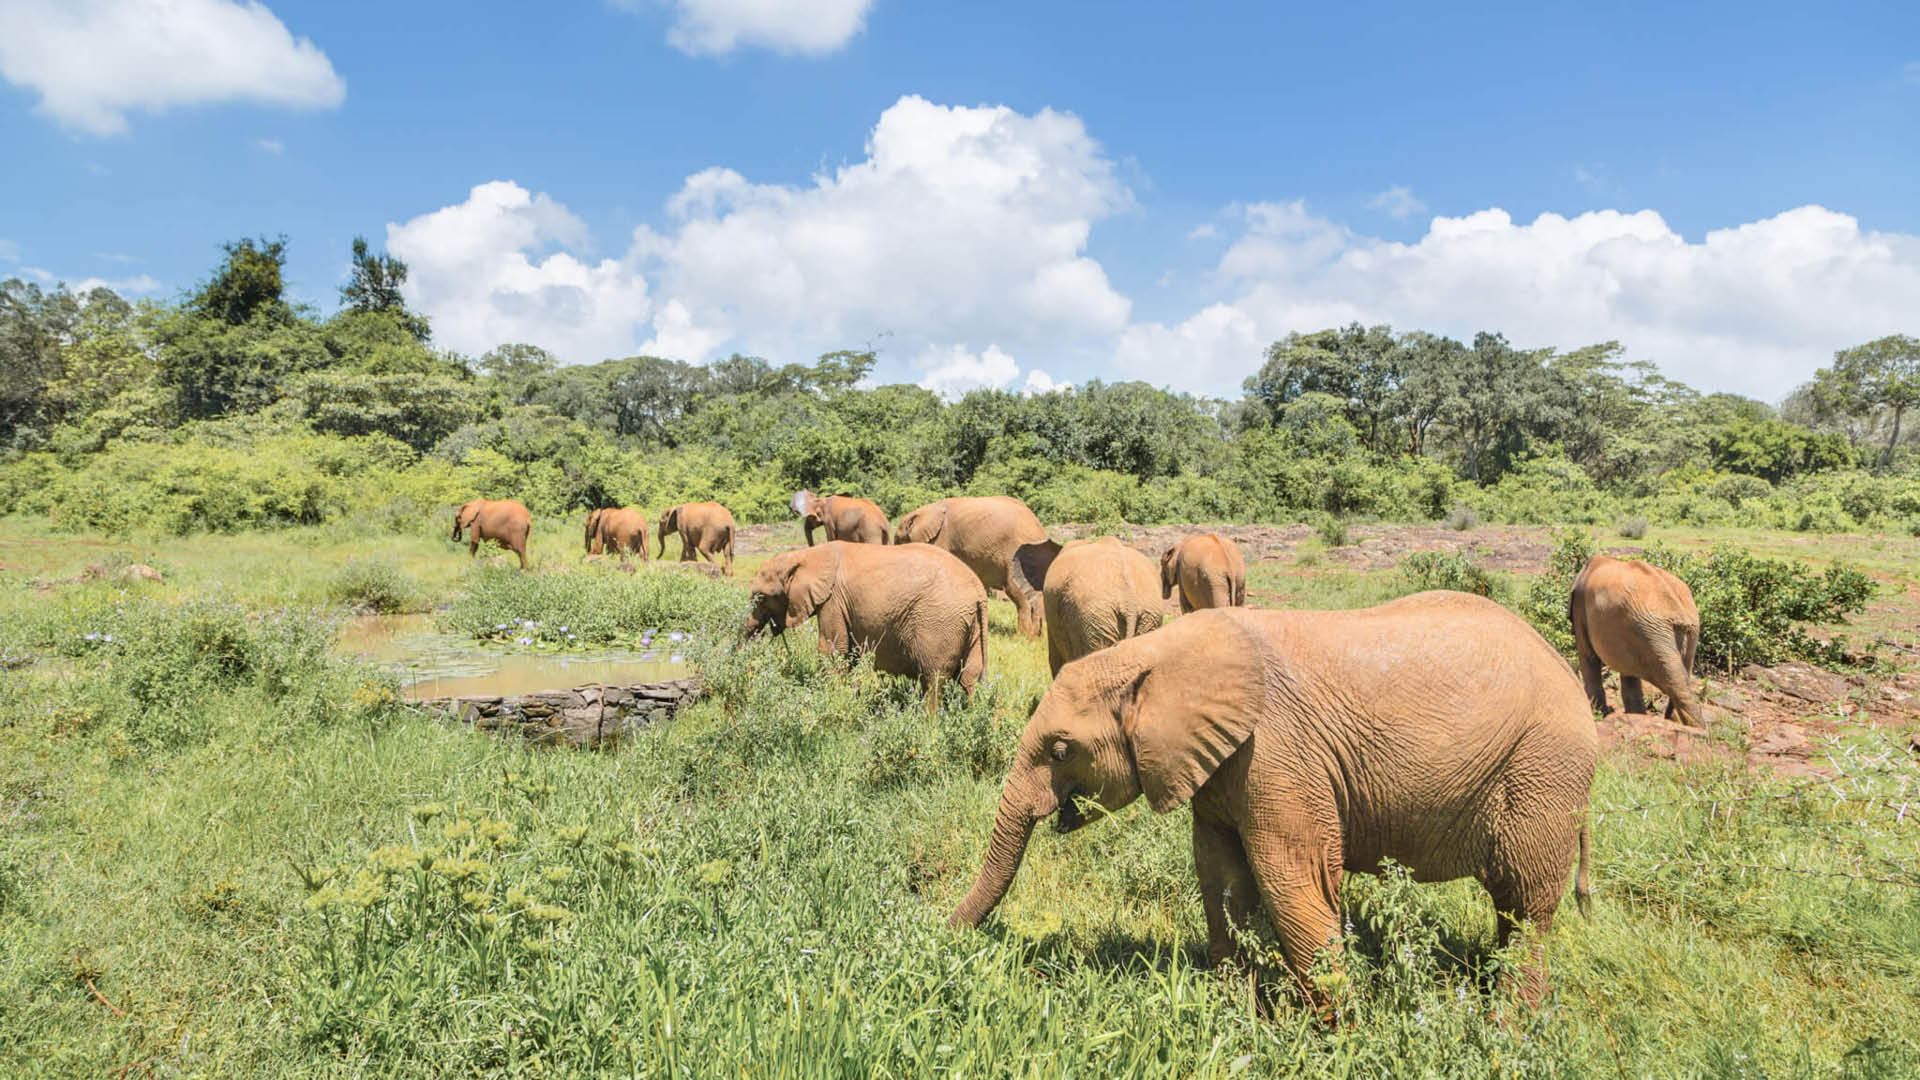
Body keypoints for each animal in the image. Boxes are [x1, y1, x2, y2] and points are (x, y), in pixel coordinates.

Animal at [742, 541, 989, 707]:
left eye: (761, 597)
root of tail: (979, 592)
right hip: (969, 625)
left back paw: (929, 724)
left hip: (939, 623)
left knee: (934, 678)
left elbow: (833, 651)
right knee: (969, 678)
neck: (807, 555)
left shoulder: (833, 601)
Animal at [894, 496, 1058, 637]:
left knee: (1017, 592)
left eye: (898, 540)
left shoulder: (940, 540)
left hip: (1015, 553)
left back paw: (1022, 637)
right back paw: (1035, 637)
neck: (924, 510)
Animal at [949, 593, 1597, 1010]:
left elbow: (1293, 881)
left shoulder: (1277, 753)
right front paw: (1237, 1012)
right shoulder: (1217, 763)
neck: (1156, 654)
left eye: (1062, 750)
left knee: (1526, 907)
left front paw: (1336, 1035)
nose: (943, 935)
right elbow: (1221, 878)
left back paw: (1510, 1027)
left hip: (1542, 770)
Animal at [1570, 555, 1702, 726]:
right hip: (1683, 632)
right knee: (1682, 678)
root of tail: (1679, 610)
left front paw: (1598, 714)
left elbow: (1589, 656)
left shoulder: (1581, 609)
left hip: (1650, 631)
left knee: (1675, 683)